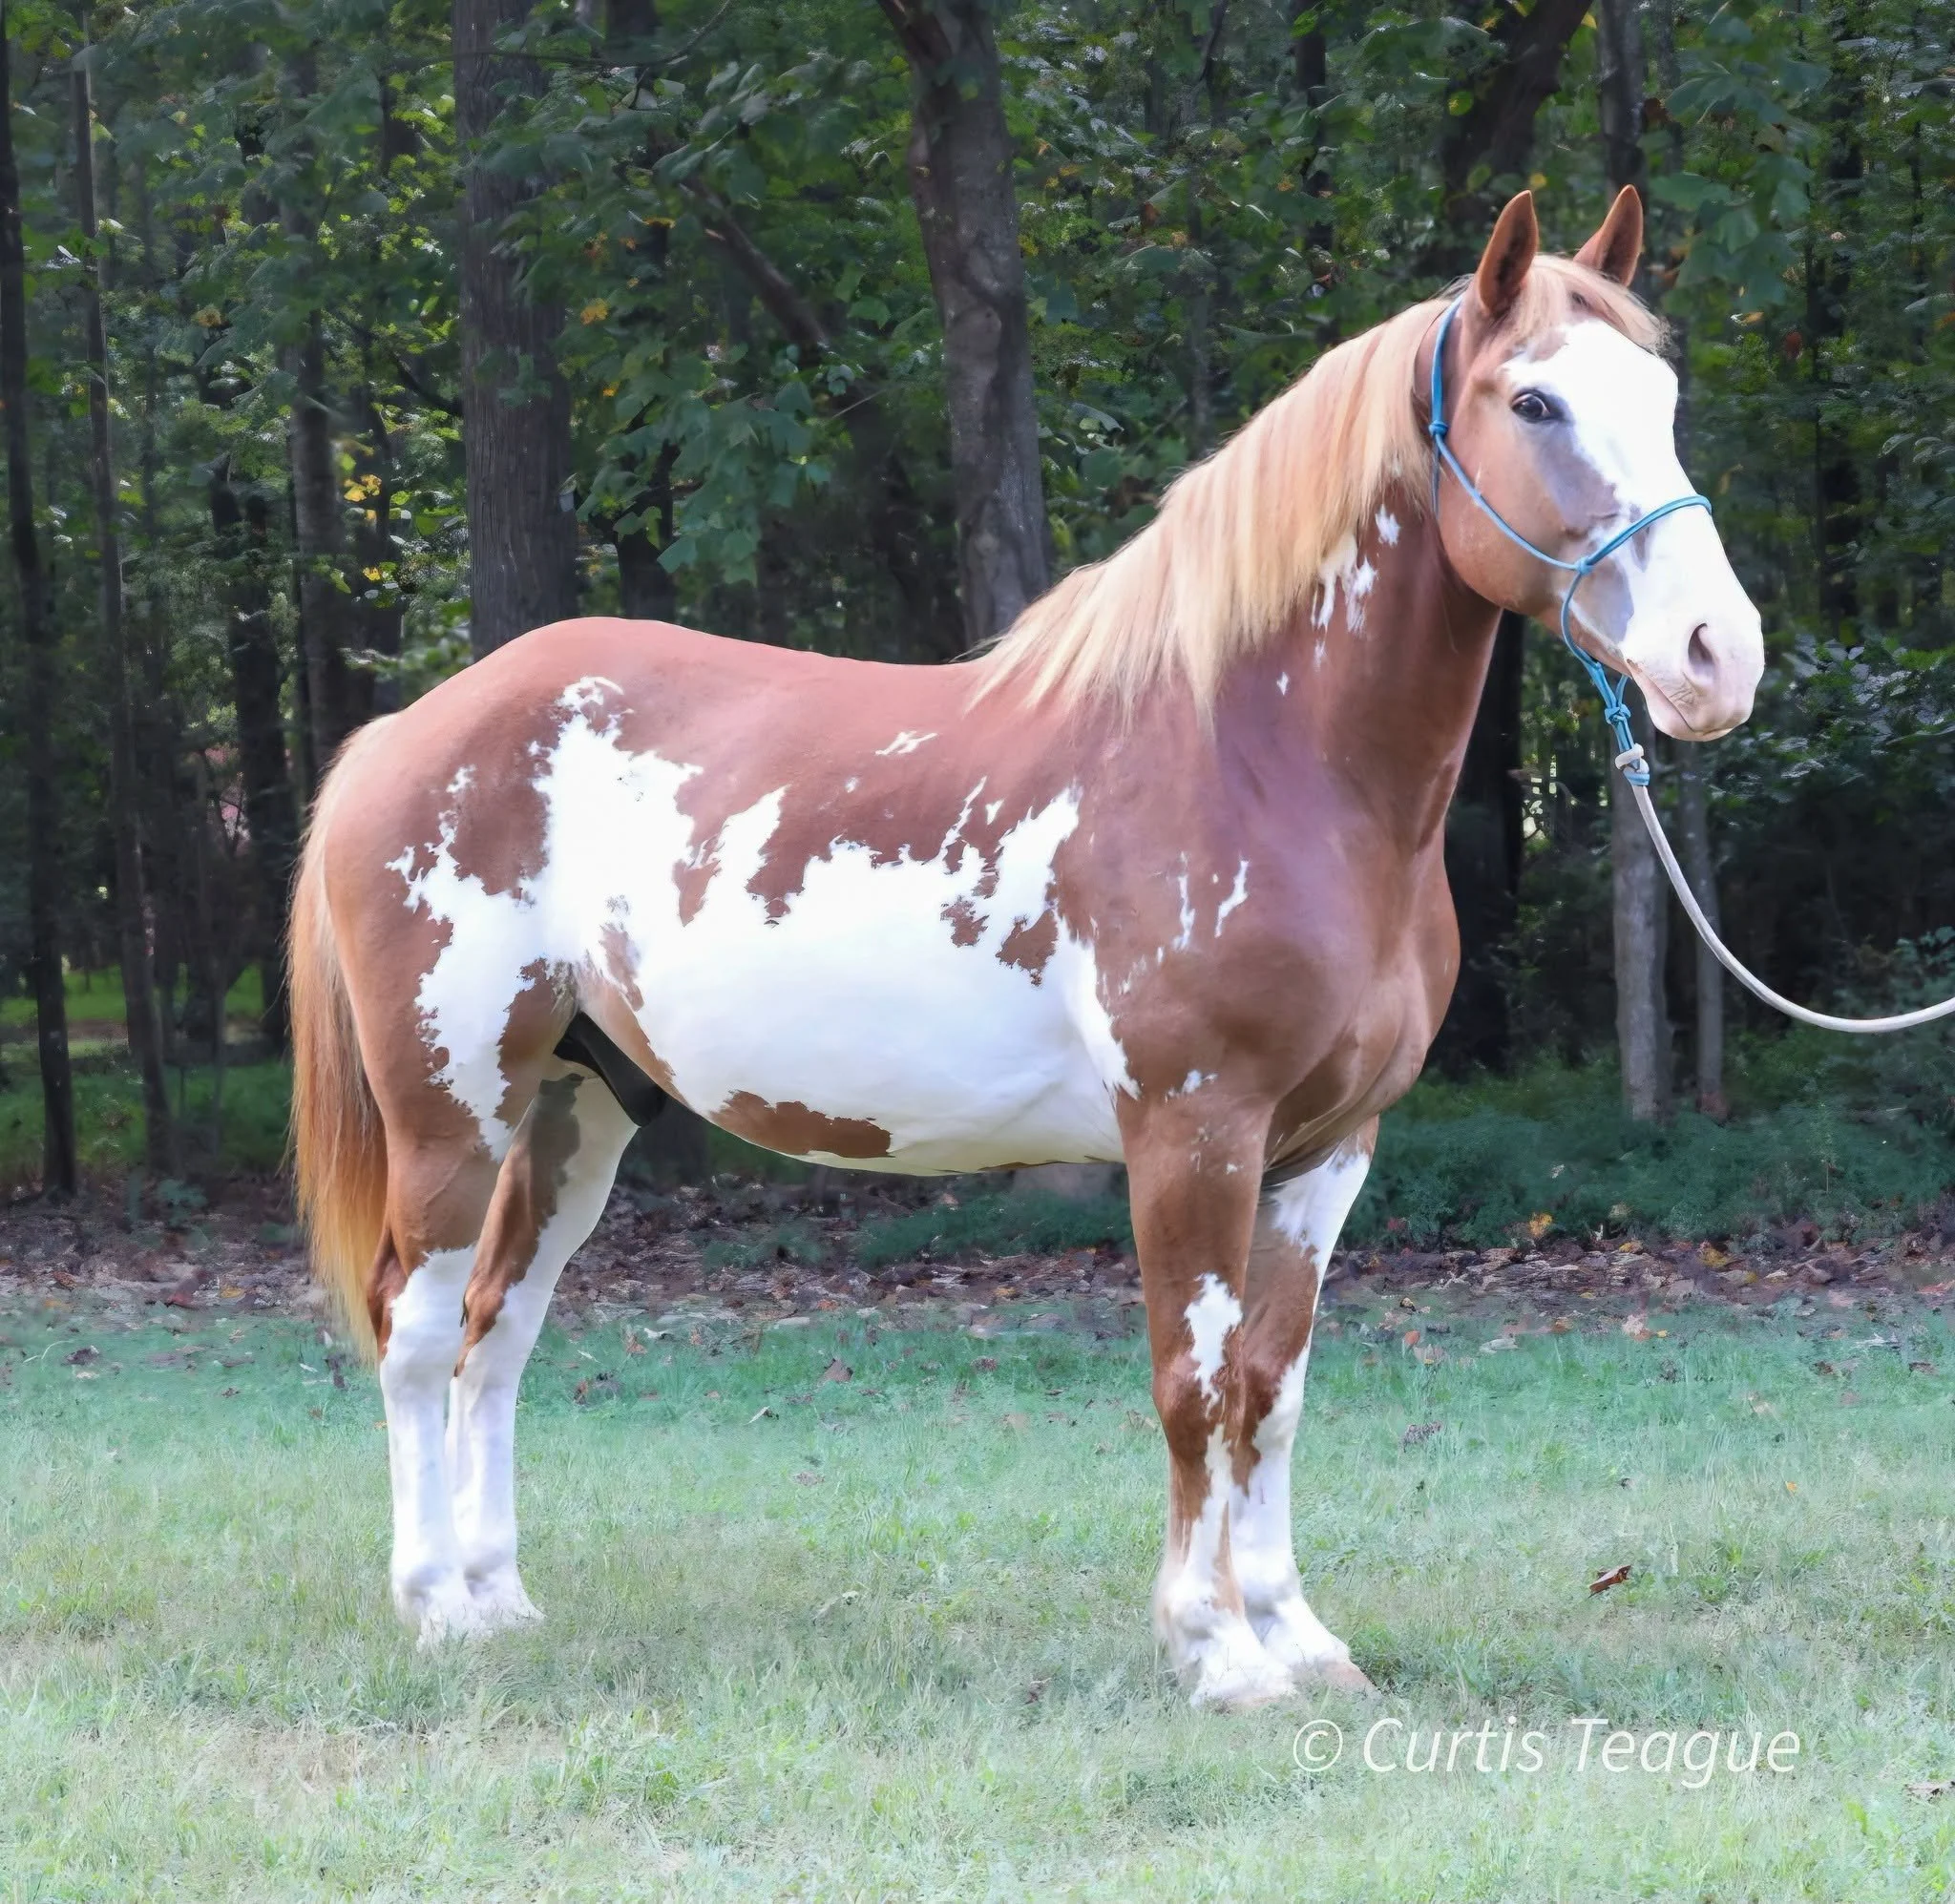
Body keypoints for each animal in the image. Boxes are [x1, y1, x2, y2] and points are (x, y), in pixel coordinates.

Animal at [291, 187, 1764, 1711]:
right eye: (1532, 399)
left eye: (1660, 396)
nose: (1716, 656)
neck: (1264, 760)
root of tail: (404, 731)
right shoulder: (1193, 1132)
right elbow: (1192, 1383)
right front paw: (1215, 1648)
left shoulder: (1330, 1148)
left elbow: (1272, 1385)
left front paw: (1296, 1632)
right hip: (452, 1107)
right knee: (418, 1328)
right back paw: (434, 1606)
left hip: (579, 1103)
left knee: (499, 1329)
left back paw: (498, 1598)